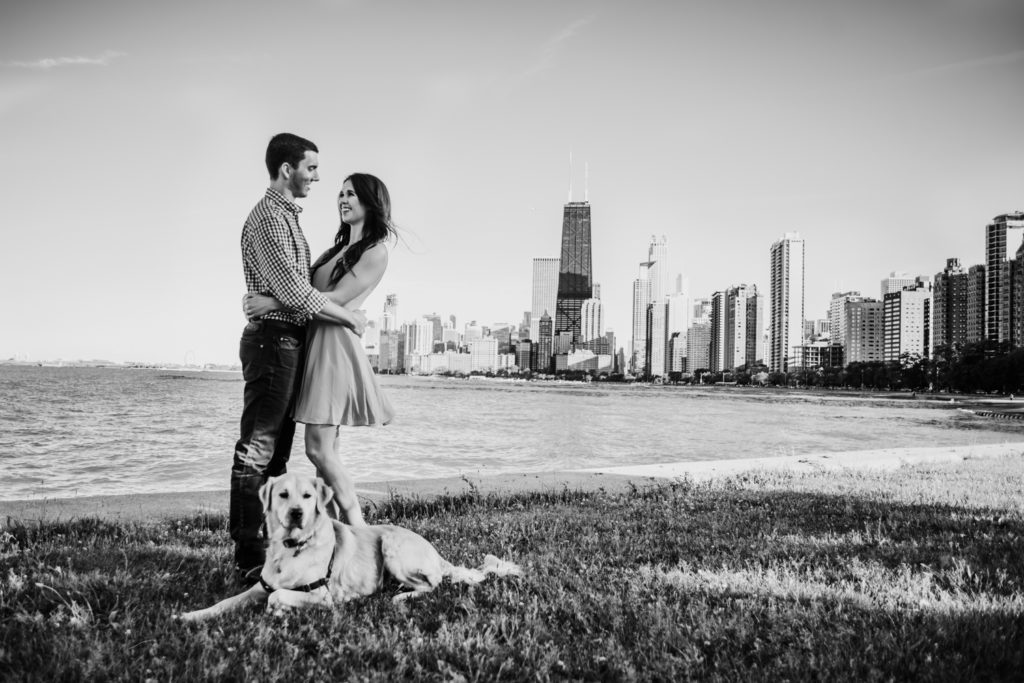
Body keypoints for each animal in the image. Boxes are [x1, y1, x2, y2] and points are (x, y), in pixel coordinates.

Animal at [177, 473, 524, 622]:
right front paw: (190, 615)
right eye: (282, 494)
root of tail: (437, 554)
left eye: (307, 496)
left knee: (434, 585)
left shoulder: (322, 596)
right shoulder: (259, 587)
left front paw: (280, 609)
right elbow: (227, 602)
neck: (293, 547)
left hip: (392, 546)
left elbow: (278, 597)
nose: (297, 513)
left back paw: (399, 597)